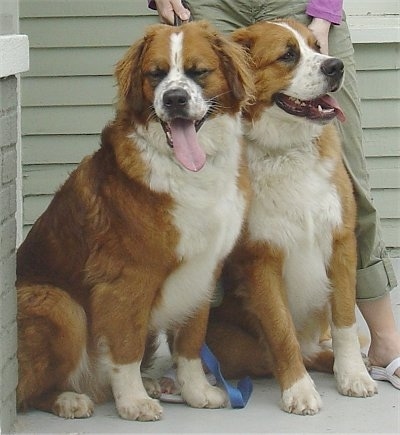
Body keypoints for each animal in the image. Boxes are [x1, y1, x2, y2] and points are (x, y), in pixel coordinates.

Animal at [17, 21, 253, 422]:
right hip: (60, 305)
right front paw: (133, 402)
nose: (174, 99)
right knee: (23, 393)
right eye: (155, 74)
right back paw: (69, 398)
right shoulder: (127, 279)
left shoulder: (203, 272)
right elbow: (126, 347)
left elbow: (191, 343)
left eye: (198, 72)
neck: (186, 170)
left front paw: (196, 391)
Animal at [206, 19, 378, 416]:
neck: (286, 151)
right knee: (290, 351)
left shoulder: (340, 243)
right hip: (227, 343)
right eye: (288, 55)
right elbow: (282, 333)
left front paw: (353, 374)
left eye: (317, 46)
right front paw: (299, 390)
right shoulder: (261, 260)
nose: (335, 67)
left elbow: (345, 322)